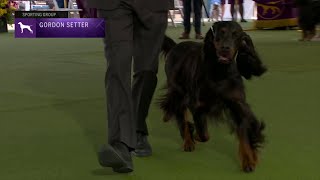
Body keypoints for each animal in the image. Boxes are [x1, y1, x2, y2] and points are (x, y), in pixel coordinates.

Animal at [159, 21, 268, 172]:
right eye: (220, 32)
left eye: (236, 35)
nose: (225, 48)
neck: (220, 71)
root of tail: (175, 46)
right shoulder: (197, 104)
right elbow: (203, 134)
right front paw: (194, 134)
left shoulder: (237, 104)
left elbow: (244, 131)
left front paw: (249, 160)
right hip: (178, 89)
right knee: (179, 112)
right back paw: (187, 141)